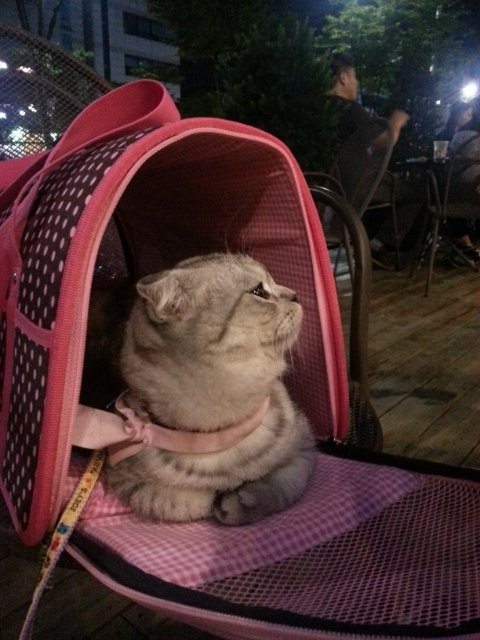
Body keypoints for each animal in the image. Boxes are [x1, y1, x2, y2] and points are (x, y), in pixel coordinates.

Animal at [106, 253, 316, 525]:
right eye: (258, 291)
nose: (295, 294)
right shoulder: (120, 477)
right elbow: (174, 501)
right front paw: (210, 497)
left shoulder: (306, 449)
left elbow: (281, 484)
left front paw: (242, 500)